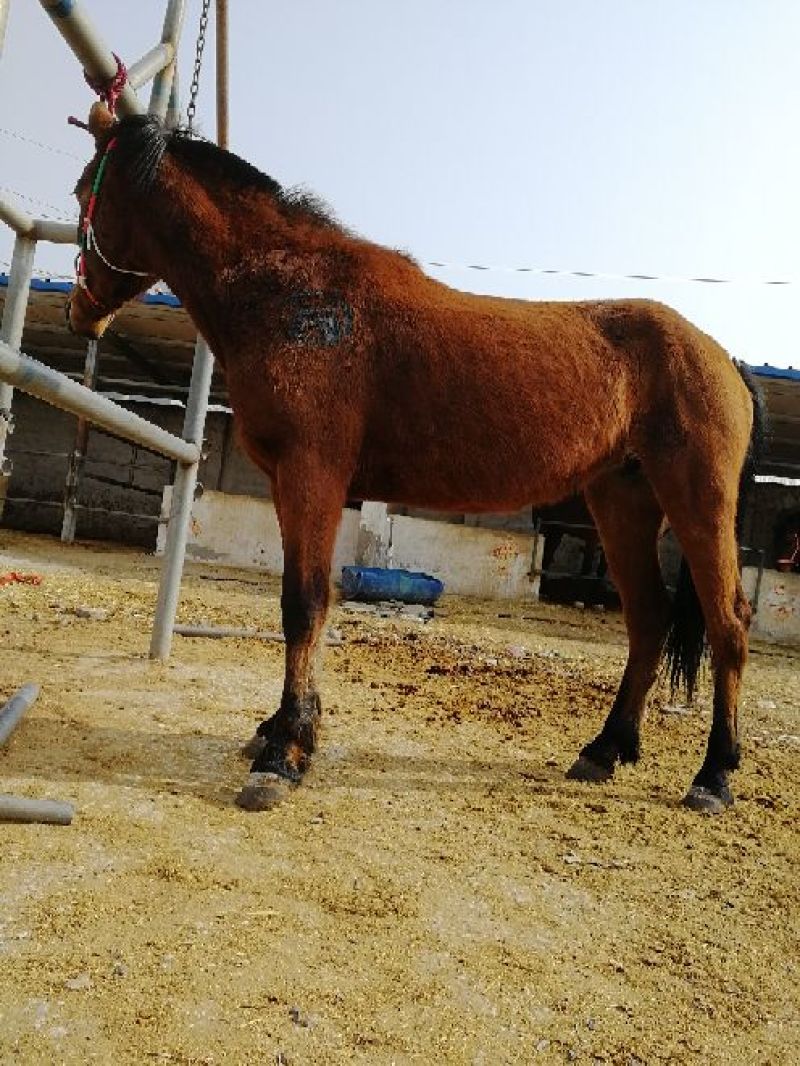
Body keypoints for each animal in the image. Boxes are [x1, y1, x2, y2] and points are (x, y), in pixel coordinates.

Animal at [67, 102, 761, 815]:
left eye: (83, 191)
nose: (81, 311)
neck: (299, 299)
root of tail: (721, 357)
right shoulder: (292, 482)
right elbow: (304, 602)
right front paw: (285, 729)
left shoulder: (313, 473)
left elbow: (305, 602)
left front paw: (283, 755)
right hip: (621, 499)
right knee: (649, 620)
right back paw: (604, 749)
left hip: (696, 497)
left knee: (728, 624)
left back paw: (713, 776)